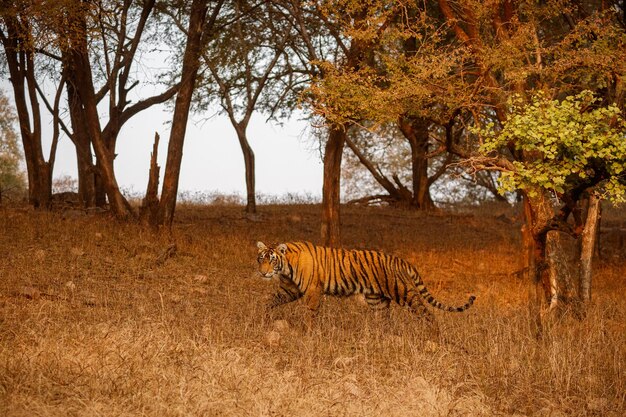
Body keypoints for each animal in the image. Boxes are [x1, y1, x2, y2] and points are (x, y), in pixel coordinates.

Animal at [254, 240, 472, 318]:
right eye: (261, 259)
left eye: (272, 260)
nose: (263, 273)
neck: (285, 267)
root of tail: (400, 260)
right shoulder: (289, 290)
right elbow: (270, 300)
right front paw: (262, 316)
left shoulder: (313, 291)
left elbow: (311, 313)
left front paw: (309, 332)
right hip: (377, 299)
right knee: (384, 319)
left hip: (402, 291)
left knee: (426, 312)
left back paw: (432, 336)